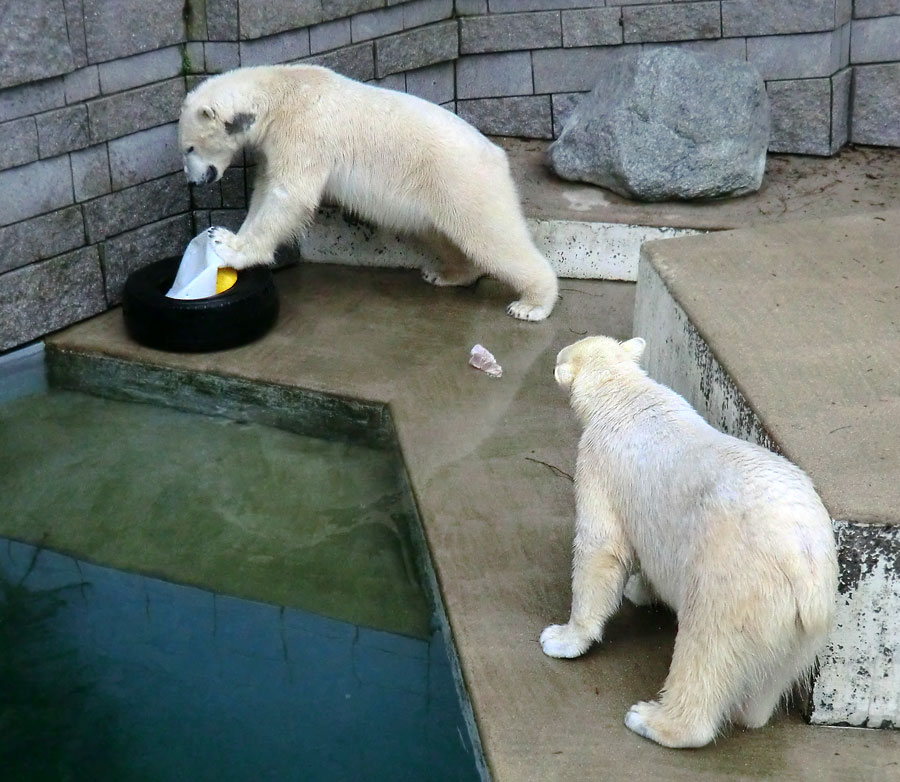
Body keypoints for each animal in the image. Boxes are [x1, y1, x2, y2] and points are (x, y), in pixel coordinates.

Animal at [177, 65, 560, 322]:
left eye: (189, 147)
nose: (194, 181)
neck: (281, 92)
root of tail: (497, 156)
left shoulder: (304, 132)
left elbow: (289, 195)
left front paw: (229, 246)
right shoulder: (273, 144)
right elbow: (266, 189)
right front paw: (227, 235)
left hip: (463, 182)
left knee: (491, 237)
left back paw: (532, 304)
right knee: (439, 233)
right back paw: (445, 274)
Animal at [536, 338, 840, 752]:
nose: (553, 364)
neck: (625, 394)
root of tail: (803, 560)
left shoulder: (598, 463)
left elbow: (601, 547)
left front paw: (562, 638)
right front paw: (639, 589)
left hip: (734, 579)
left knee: (706, 649)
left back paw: (653, 719)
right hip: (806, 620)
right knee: (773, 673)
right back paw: (750, 713)